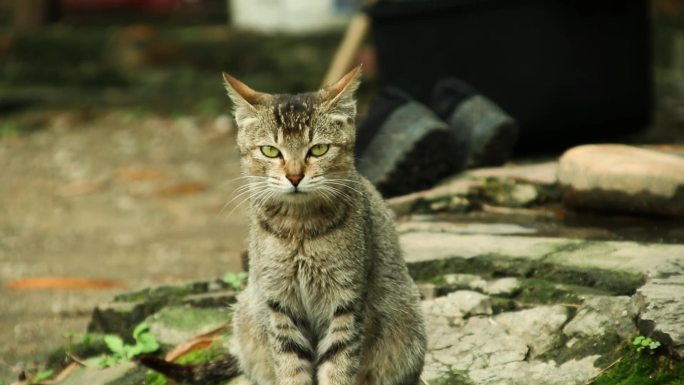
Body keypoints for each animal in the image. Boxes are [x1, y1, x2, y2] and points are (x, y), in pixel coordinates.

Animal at [140, 67, 424, 384]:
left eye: (319, 149)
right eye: (270, 151)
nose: (295, 176)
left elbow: (338, 365)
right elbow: (291, 365)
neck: (299, 227)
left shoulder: (346, 301)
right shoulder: (279, 303)